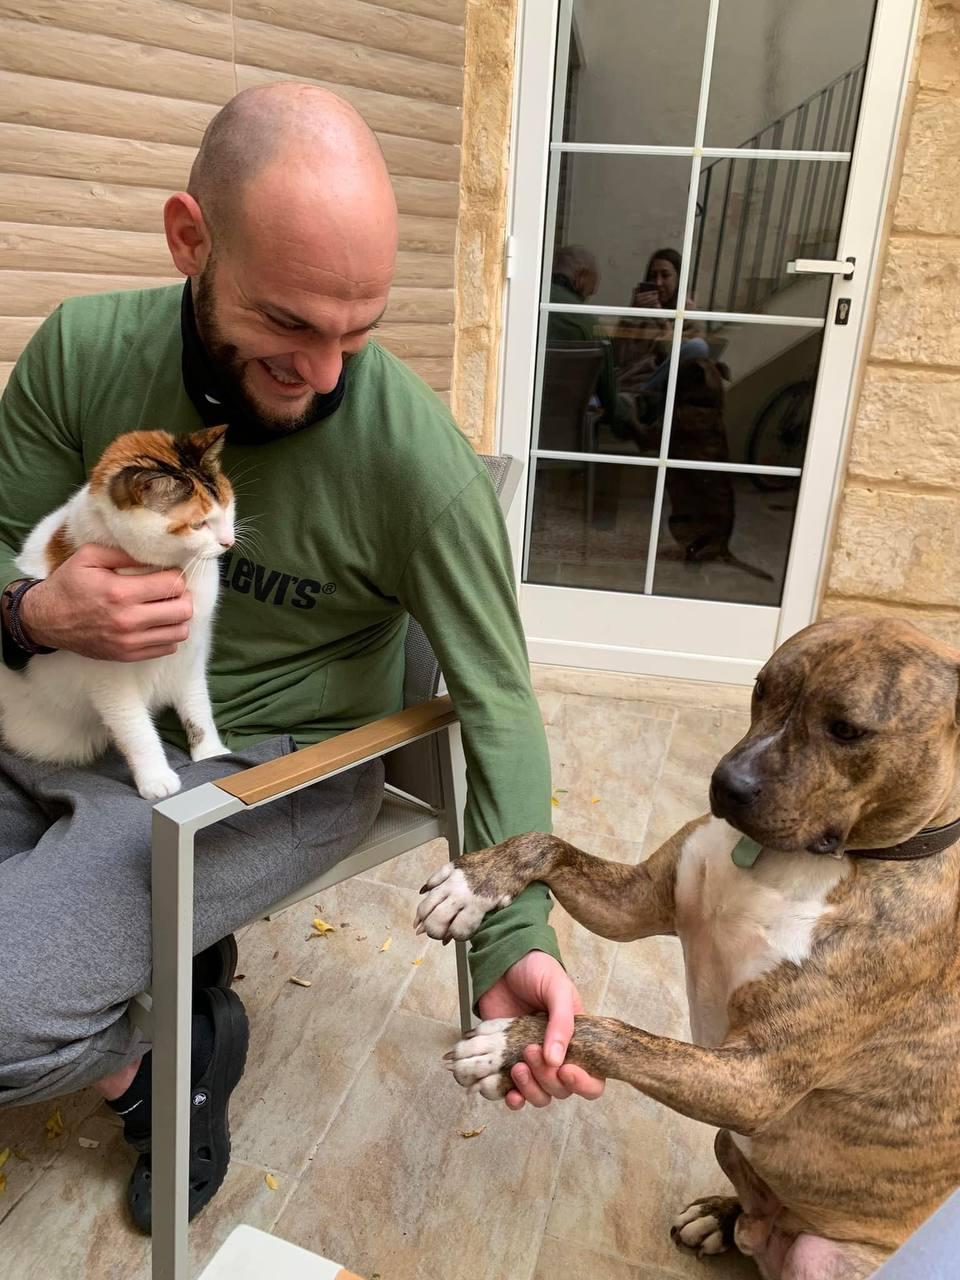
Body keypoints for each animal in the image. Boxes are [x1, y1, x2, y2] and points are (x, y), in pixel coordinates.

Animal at [0, 426, 235, 801]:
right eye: (198, 524)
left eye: (227, 506)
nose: (228, 541)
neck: (179, 570)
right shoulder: (108, 678)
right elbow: (135, 728)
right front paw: (156, 779)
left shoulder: (190, 655)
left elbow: (198, 706)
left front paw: (209, 751)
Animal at [415, 617, 960, 1279]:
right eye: (760, 687)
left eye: (847, 730)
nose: (726, 785)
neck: (787, 863)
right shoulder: (636, 901)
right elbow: (546, 842)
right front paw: (474, 883)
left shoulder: (755, 1078)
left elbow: (613, 1032)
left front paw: (509, 1044)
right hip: (729, 1143)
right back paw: (721, 1219)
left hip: (824, 1252)